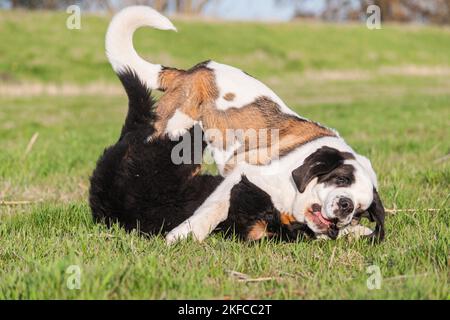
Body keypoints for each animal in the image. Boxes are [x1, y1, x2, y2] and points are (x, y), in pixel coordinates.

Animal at [103, 6, 384, 244]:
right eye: (341, 179)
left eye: (360, 210)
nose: (347, 206)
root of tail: (194, 71)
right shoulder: (242, 175)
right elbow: (212, 209)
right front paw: (184, 235)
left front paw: (357, 231)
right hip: (173, 130)